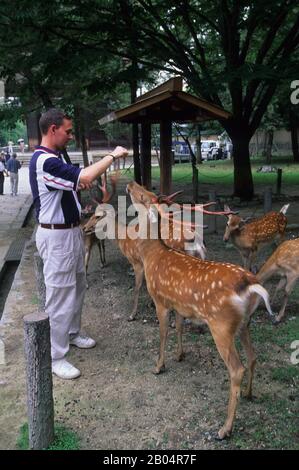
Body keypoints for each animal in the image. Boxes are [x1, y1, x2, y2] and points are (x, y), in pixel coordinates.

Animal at [125, 181, 276, 440]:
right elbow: (179, 328)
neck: (152, 255)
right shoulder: (179, 305)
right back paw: (248, 394)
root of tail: (251, 284)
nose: (131, 183)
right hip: (244, 323)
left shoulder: (160, 300)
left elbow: (163, 334)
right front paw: (180, 355)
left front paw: (159, 366)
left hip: (221, 325)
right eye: (144, 189)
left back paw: (225, 428)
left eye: (143, 195)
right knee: (253, 356)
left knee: (237, 368)